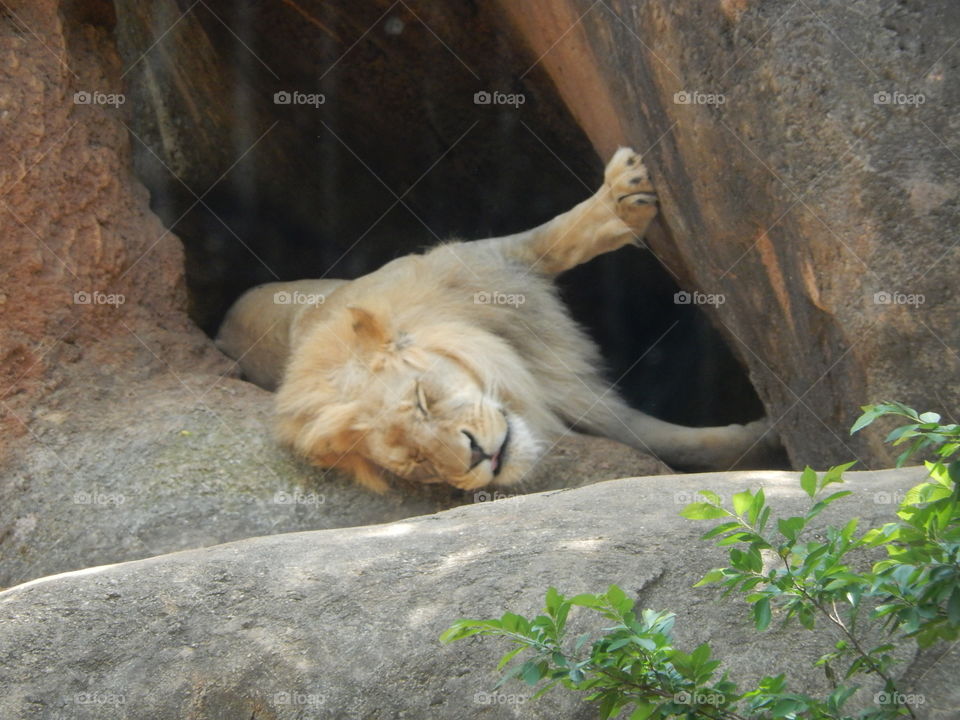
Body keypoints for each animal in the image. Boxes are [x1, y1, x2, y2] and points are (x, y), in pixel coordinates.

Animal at [216, 148, 780, 492]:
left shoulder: (490, 264)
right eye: (416, 464)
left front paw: (624, 192)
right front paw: (764, 439)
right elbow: (663, 441)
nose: (476, 460)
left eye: (422, 400)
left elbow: (555, 237)